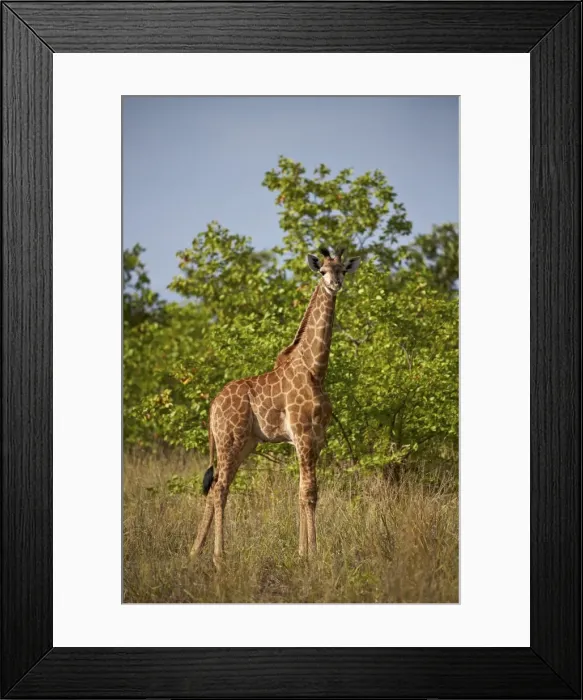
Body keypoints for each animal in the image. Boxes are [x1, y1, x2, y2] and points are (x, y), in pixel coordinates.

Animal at [190, 246, 360, 568]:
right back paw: (219, 557)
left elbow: (303, 491)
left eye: (343, 269)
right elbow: (309, 492)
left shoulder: (315, 437)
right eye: (322, 271)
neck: (315, 370)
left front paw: (301, 551)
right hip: (230, 439)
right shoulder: (303, 433)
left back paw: (195, 551)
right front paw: (313, 554)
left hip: (246, 443)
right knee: (219, 488)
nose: (335, 284)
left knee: (216, 485)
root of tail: (213, 406)